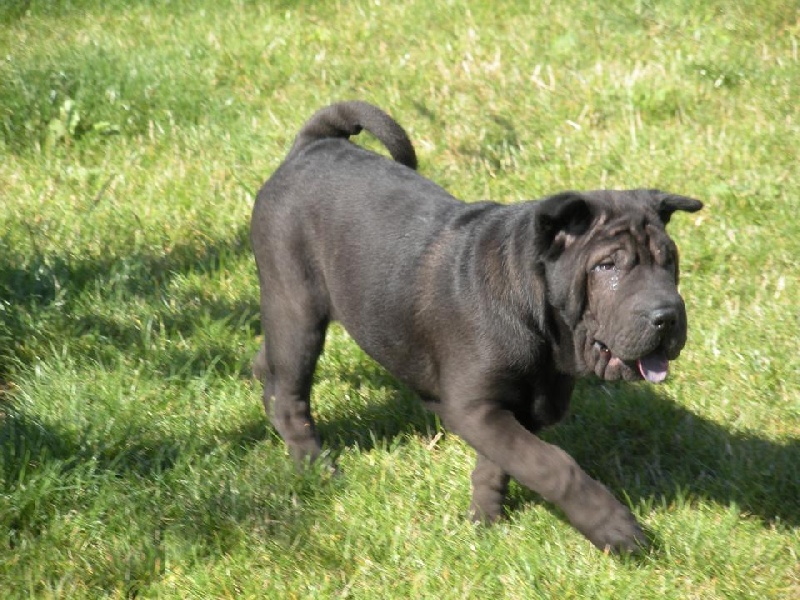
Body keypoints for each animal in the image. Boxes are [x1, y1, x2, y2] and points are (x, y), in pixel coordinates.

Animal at [251, 101, 702, 553]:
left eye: (670, 262)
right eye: (606, 267)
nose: (667, 315)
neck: (537, 316)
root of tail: (312, 145)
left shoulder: (522, 406)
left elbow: (504, 463)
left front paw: (484, 521)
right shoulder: (475, 409)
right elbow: (553, 465)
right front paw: (614, 526)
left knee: (272, 367)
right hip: (297, 306)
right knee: (289, 396)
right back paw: (316, 467)